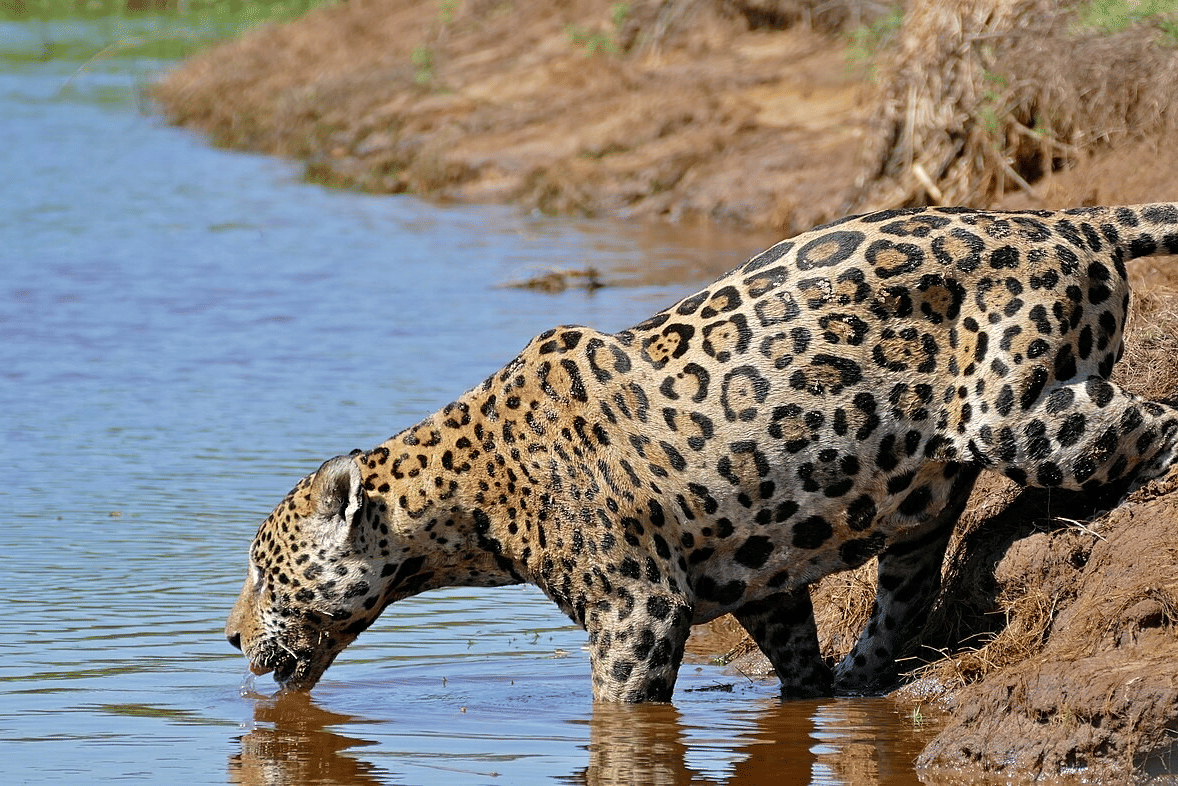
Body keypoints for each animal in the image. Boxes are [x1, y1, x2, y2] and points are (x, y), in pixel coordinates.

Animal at [226, 203, 1178, 703]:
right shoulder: (762, 583)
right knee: (903, 594)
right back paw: (861, 680)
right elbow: (794, 653)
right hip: (920, 504)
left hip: (1017, 415)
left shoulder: (637, 610)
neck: (465, 502)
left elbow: (621, 713)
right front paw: (809, 700)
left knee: (1156, 417)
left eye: (265, 576)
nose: (230, 638)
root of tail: (1075, 219)